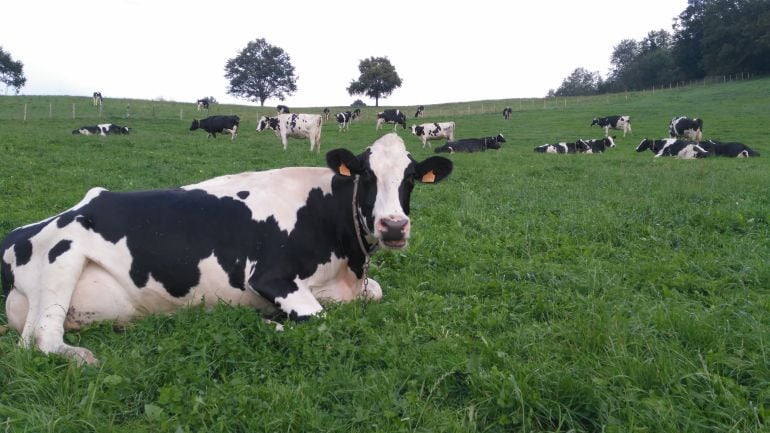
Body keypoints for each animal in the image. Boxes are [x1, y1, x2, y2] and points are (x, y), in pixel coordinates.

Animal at [0, 133, 452, 362]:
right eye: (367, 175)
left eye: (411, 177)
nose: (394, 226)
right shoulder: (268, 276)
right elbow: (319, 319)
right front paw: (268, 321)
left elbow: (375, 292)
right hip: (61, 255)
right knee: (39, 340)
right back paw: (81, 356)